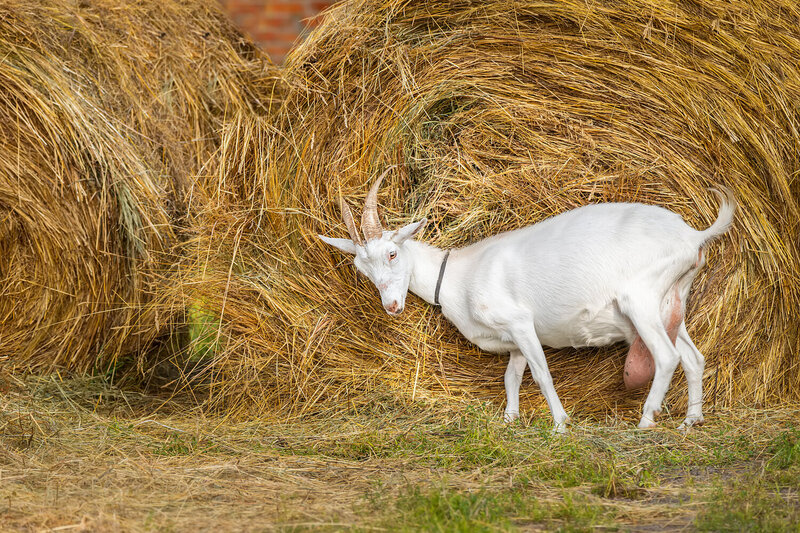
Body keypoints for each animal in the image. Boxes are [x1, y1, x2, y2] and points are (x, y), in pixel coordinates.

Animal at [319, 169, 736, 433]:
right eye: (361, 269)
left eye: (392, 253)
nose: (391, 306)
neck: (458, 277)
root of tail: (693, 236)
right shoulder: (514, 340)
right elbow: (512, 376)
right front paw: (509, 418)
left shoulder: (520, 322)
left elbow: (541, 373)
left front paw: (560, 424)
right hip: (672, 302)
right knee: (694, 358)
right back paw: (691, 421)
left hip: (641, 300)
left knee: (667, 356)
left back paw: (647, 420)